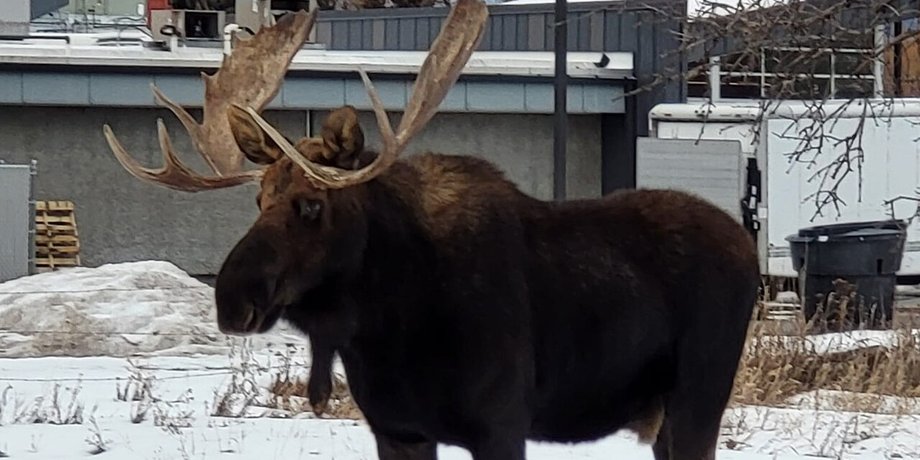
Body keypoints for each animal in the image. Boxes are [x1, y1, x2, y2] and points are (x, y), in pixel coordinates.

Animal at [101, 1, 760, 459]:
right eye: (258, 198)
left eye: (312, 204)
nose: (231, 299)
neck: (386, 327)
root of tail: (746, 245)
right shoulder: (399, 430)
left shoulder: (501, 425)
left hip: (698, 398)